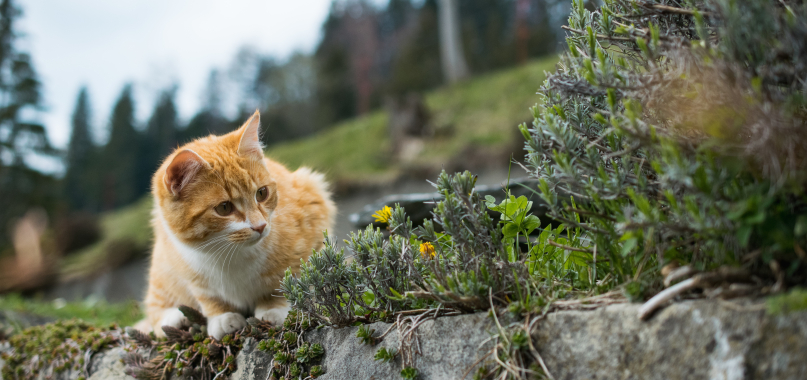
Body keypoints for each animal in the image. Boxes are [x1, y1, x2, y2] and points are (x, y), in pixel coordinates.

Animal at [142, 110, 334, 338]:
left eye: (262, 193)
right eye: (224, 208)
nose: (260, 226)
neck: (229, 252)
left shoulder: (311, 218)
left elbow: (286, 277)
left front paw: (274, 307)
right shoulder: (188, 267)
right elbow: (208, 296)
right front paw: (222, 316)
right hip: (162, 267)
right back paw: (175, 318)